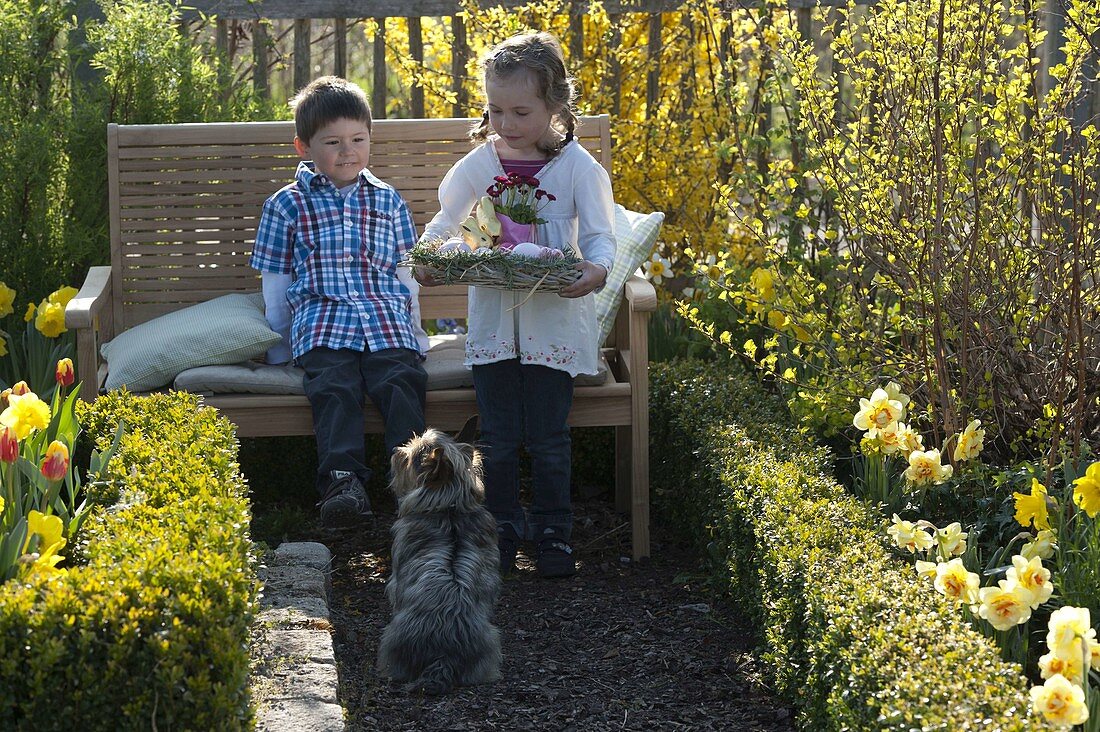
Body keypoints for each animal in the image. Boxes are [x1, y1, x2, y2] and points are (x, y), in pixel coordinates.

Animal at [376, 420, 501, 695]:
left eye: (412, 457)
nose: (396, 450)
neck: (448, 507)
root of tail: (443, 657)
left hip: (391, 639)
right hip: (490, 640)